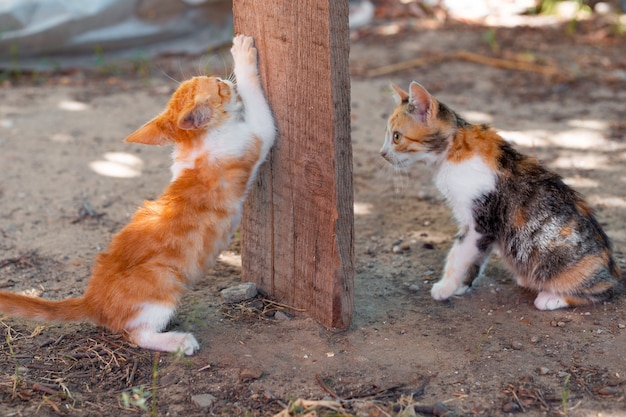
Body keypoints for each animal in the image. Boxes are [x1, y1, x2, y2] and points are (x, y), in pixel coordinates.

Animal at [0, 35, 276, 354]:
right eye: (218, 86)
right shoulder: (257, 136)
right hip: (164, 279)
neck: (197, 143)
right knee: (136, 334)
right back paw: (179, 341)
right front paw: (242, 54)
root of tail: (92, 299)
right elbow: (258, 105)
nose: (222, 78)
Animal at [380, 80, 620, 308]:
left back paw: (552, 298)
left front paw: (445, 287)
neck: (452, 151)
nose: (381, 153)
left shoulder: (479, 222)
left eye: (397, 137)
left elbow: (457, 256)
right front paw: (463, 285)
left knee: (606, 291)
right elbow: (476, 257)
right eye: (387, 135)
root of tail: (613, 269)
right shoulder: (486, 229)